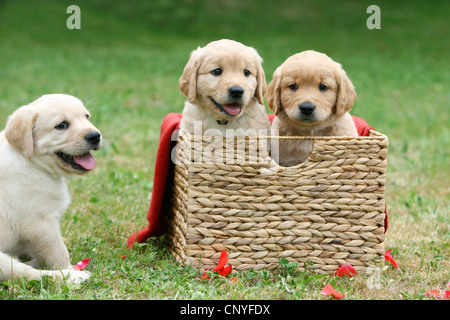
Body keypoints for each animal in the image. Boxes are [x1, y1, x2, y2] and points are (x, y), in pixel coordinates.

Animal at [0, 93, 101, 282]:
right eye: (62, 125)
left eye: (87, 117)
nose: (95, 136)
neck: (33, 163)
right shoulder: (41, 224)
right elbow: (59, 253)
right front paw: (68, 268)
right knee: (30, 274)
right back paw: (73, 276)